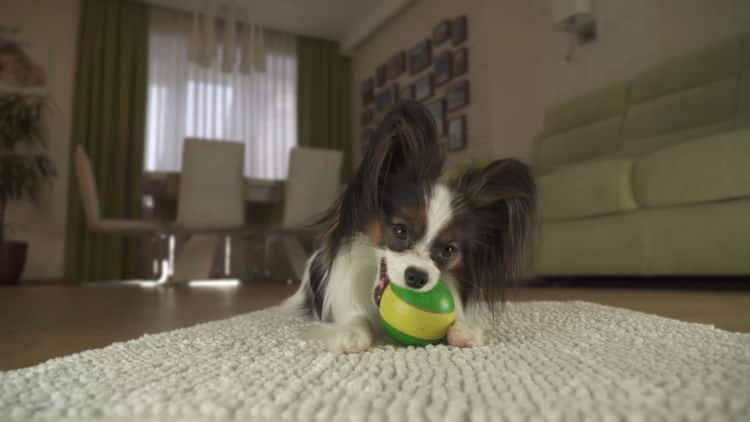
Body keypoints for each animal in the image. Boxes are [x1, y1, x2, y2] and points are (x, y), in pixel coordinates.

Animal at [284, 101, 536, 352]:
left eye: (449, 250)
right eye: (400, 230)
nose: (417, 277)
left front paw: (464, 329)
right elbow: (356, 317)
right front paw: (352, 332)